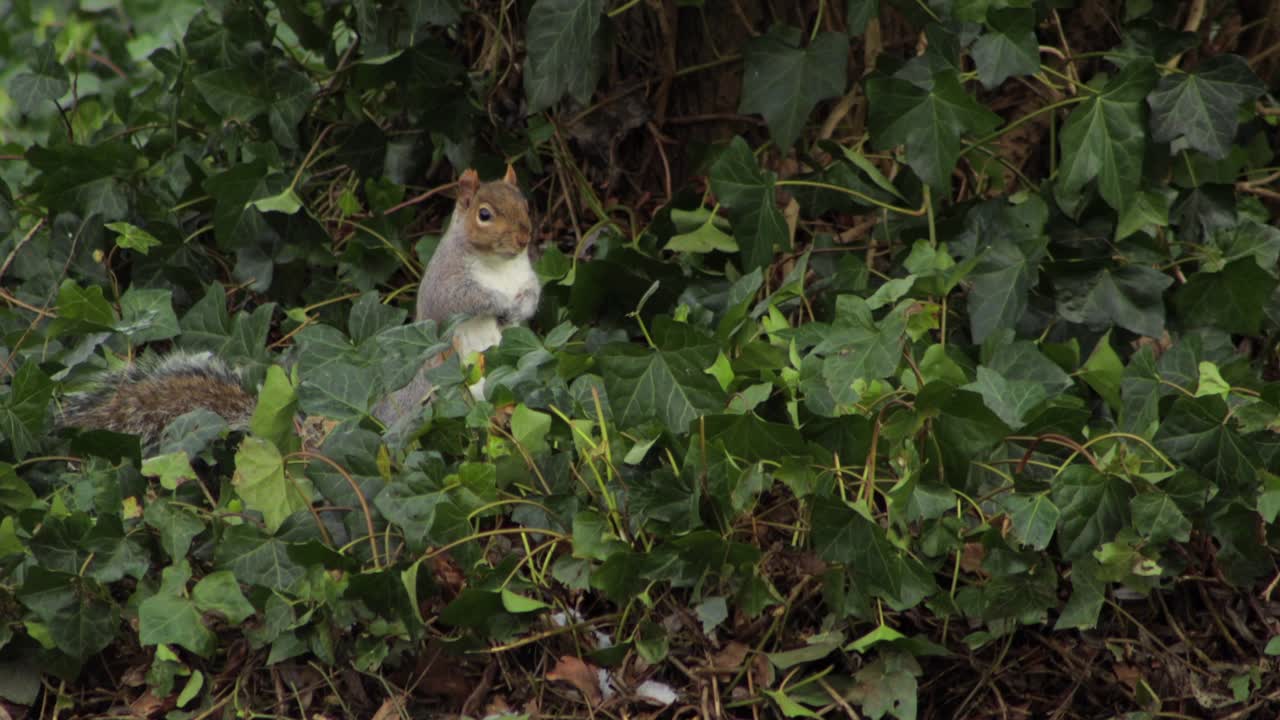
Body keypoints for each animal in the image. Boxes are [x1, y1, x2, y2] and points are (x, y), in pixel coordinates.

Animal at [57, 166, 540, 447]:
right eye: (484, 214)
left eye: (524, 202)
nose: (525, 237)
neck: (500, 265)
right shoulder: (445, 283)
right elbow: (462, 300)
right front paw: (499, 303)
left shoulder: (527, 274)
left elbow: (534, 295)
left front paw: (520, 308)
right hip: (439, 389)